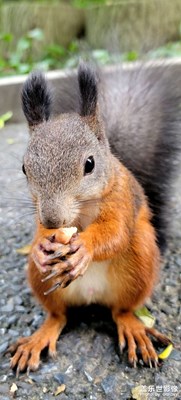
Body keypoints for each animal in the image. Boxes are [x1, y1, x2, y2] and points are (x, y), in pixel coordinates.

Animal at [8, 61, 177, 374]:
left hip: (140, 263)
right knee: (58, 316)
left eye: (90, 164)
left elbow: (115, 233)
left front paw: (84, 248)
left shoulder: (121, 197)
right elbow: (39, 234)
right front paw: (40, 246)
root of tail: (91, 295)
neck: (81, 214)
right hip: (41, 282)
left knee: (121, 310)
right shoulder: (39, 213)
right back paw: (40, 337)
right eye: (25, 168)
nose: (53, 220)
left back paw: (133, 328)